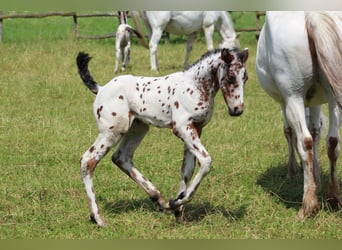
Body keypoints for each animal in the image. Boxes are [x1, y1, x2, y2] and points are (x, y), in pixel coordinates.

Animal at [77, 46, 248, 225]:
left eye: (246, 78)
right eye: (230, 77)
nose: (237, 110)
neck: (195, 85)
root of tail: (101, 88)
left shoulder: (196, 129)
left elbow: (187, 169)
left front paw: (178, 210)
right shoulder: (182, 128)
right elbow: (206, 161)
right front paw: (178, 201)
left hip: (138, 128)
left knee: (121, 158)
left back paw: (160, 200)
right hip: (112, 131)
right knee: (88, 161)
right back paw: (97, 217)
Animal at [255, 11, 342, 219]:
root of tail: (312, 16)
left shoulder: (284, 101)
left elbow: (289, 132)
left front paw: (292, 170)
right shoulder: (316, 101)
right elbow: (316, 129)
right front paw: (316, 174)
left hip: (293, 96)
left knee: (305, 141)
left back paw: (308, 205)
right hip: (332, 96)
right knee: (333, 142)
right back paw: (333, 198)